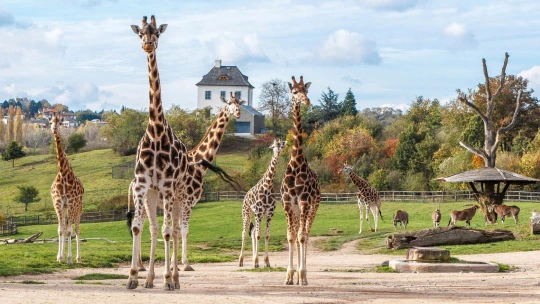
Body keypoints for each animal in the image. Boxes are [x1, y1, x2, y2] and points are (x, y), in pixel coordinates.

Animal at [238, 138, 284, 268]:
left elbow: (266, 235)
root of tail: (245, 197)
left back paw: (254, 259)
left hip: (257, 215)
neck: (267, 186)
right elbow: (258, 235)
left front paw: (266, 262)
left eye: (281, 145)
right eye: (273, 146)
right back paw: (241, 261)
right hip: (247, 213)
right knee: (244, 232)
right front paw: (256, 262)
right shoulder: (258, 212)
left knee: (253, 231)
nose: (278, 151)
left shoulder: (269, 212)